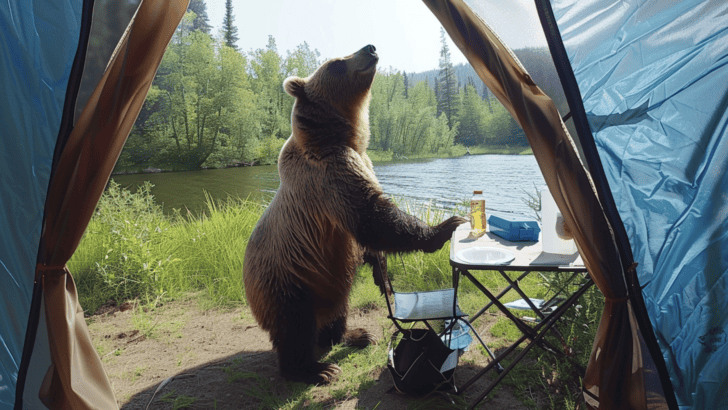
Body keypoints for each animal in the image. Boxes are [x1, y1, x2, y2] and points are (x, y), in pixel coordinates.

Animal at [243, 44, 466, 385]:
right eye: (337, 62)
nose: (370, 48)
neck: (345, 138)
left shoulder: (363, 162)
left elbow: (370, 240)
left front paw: (383, 276)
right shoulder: (330, 174)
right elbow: (372, 217)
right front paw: (446, 225)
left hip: (328, 278)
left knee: (338, 308)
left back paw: (355, 335)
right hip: (289, 279)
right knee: (295, 327)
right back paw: (315, 368)